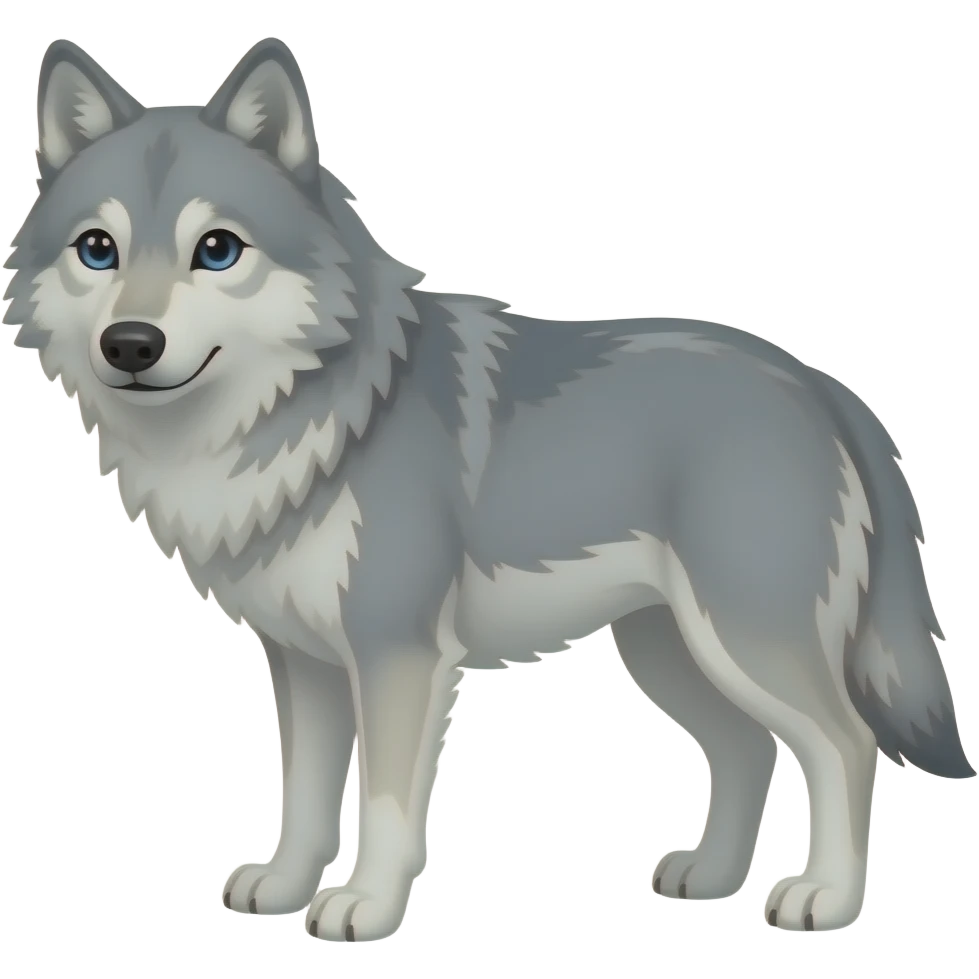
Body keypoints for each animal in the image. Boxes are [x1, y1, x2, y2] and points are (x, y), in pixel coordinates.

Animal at [3, 36, 973, 942]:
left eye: (215, 250)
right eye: (98, 249)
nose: (130, 343)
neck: (312, 417)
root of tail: (818, 383)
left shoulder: (396, 655)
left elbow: (386, 806)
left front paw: (365, 905)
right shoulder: (305, 663)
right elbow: (306, 797)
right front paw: (283, 888)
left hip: (741, 640)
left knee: (844, 744)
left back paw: (824, 898)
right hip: (669, 652)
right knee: (749, 747)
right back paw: (709, 877)